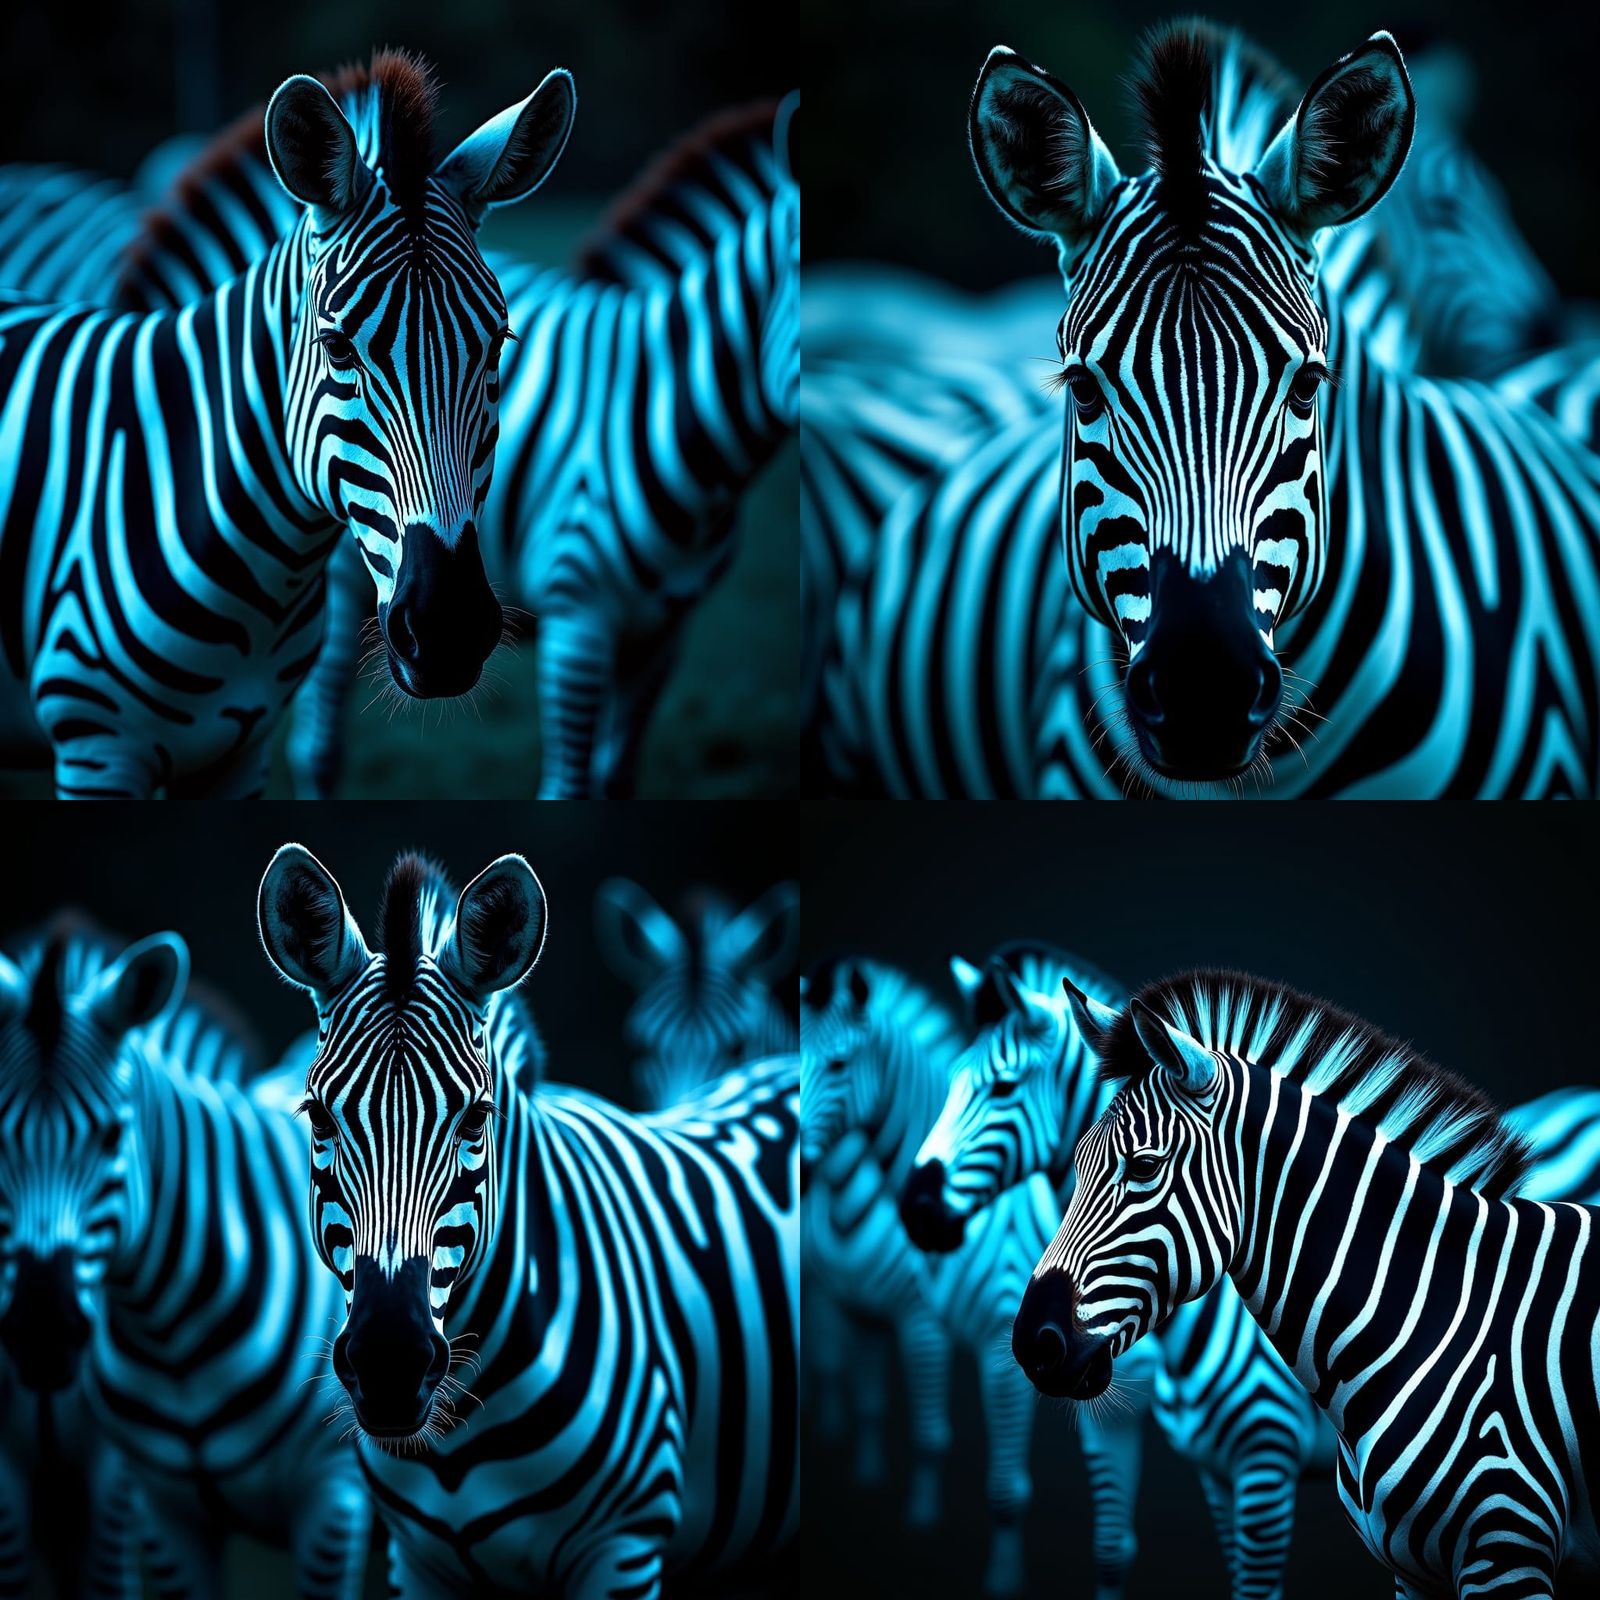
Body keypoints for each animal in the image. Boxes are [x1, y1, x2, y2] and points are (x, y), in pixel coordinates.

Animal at [801, 955, 1150, 1599]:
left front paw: (1001, 1580)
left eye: (836, 1065)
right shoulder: (886, 1314)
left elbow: (1002, 1487)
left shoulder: (976, 1341)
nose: (916, 1212)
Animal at [903, 946, 1335, 1599]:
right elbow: (1110, 1549)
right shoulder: (1196, 1456)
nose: (913, 1208)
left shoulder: (1266, 1458)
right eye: (949, 1080)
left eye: (1002, 1087)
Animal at [1018, 970, 1600, 1599]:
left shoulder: (1502, 1545)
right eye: (1077, 1160)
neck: (1431, 1325)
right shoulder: (1404, 1567)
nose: (1032, 1343)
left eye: (1144, 1167)